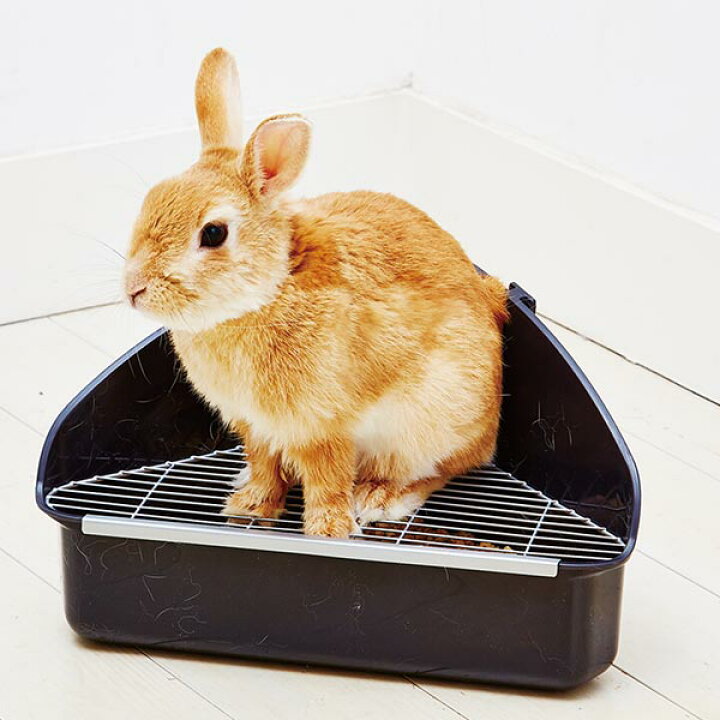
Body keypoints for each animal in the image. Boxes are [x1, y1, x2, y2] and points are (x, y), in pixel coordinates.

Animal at [124, 48, 508, 538]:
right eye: (150, 200)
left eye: (213, 233)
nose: (133, 289)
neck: (269, 291)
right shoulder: (255, 425)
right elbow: (264, 463)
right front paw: (251, 507)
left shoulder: (322, 424)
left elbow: (327, 476)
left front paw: (329, 530)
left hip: (433, 422)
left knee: (437, 470)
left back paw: (380, 498)